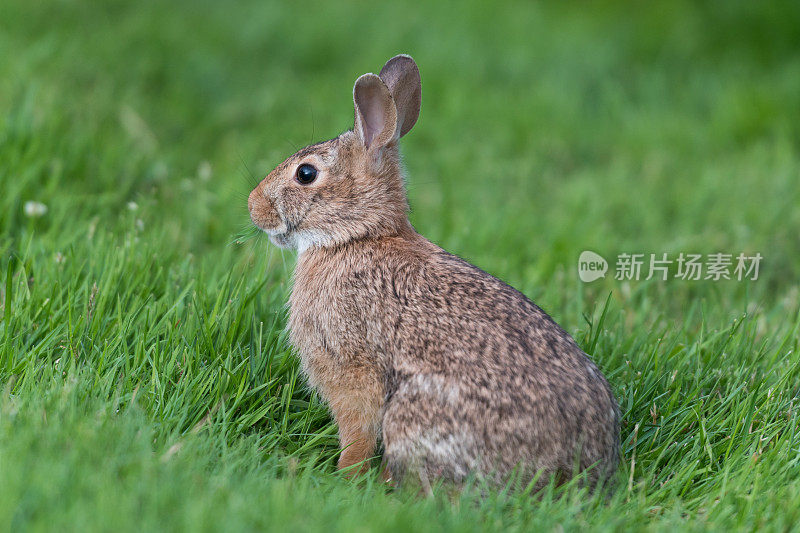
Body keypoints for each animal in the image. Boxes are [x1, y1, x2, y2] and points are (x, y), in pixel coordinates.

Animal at [248, 55, 620, 490]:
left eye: (305, 174)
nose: (253, 206)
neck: (357, 236)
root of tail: (574, 472)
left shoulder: (351, 366)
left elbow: (357, 431)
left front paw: (345, 475)